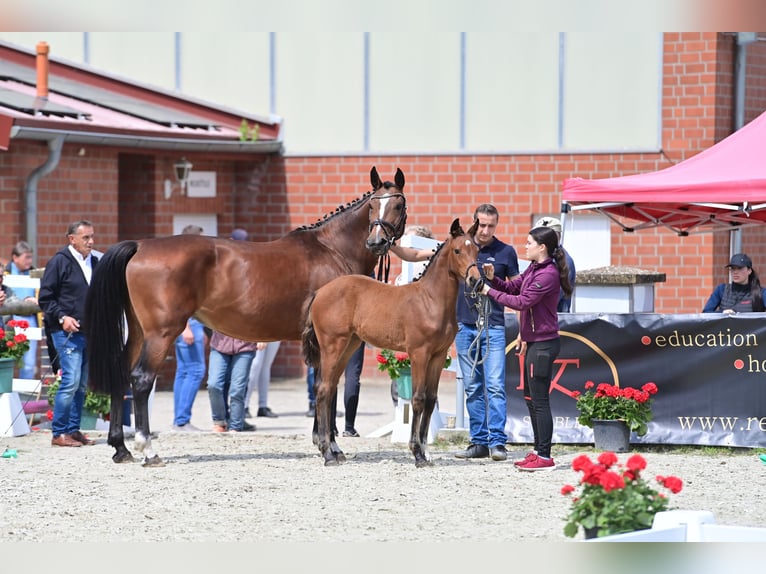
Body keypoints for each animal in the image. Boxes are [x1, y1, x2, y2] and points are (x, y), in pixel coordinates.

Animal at [84, 166, 408, 466]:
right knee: (141, 379)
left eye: (398, 205)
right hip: (160, 333)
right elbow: (326, 386)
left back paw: (121, 448)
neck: (332, 250)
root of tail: (140, 245)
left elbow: (324, 385)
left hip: (138, 331)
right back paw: (148, 450)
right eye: (372, 206)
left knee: (121, 372)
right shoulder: (329, 339)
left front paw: (328, 445)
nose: (376, 242)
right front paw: (328, 448)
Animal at [302, 218, 482, 467]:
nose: (476, 281)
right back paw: (327, 454)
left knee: (329, 390)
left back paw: (335, 452)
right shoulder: (419, 354)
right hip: (332, 346)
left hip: (349, 346)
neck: (430, 301)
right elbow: (418, 399)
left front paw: (425, 452)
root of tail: (320, 292)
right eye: (457, 250)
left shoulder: (438, 356)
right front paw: (417, 454)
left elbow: (430, 400)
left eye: (477, 250)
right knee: (323, 389)